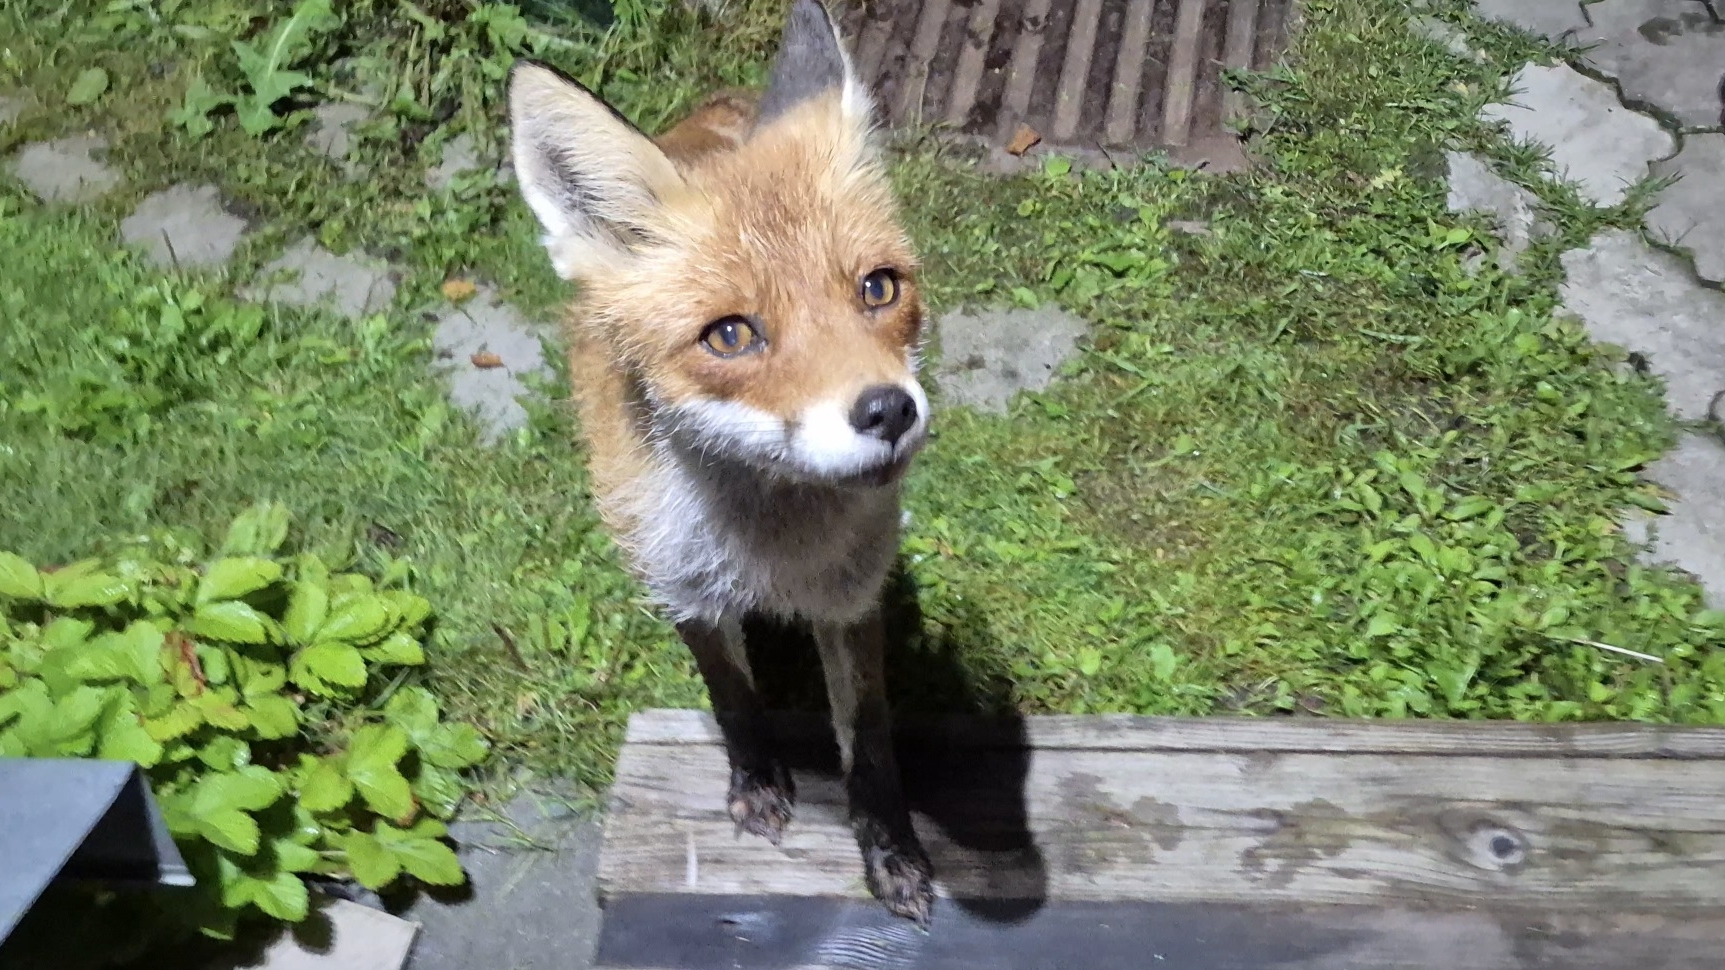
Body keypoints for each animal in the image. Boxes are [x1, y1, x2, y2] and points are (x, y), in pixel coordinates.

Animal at [506, 0, 937, 924]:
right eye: (731, 335)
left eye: (878, 289)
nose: (888, 411)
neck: (769, 547)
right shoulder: (679, 583)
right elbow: (732, 698)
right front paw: (758, 785)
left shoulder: (852, 597)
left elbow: (870, 738)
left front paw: (890, 852)